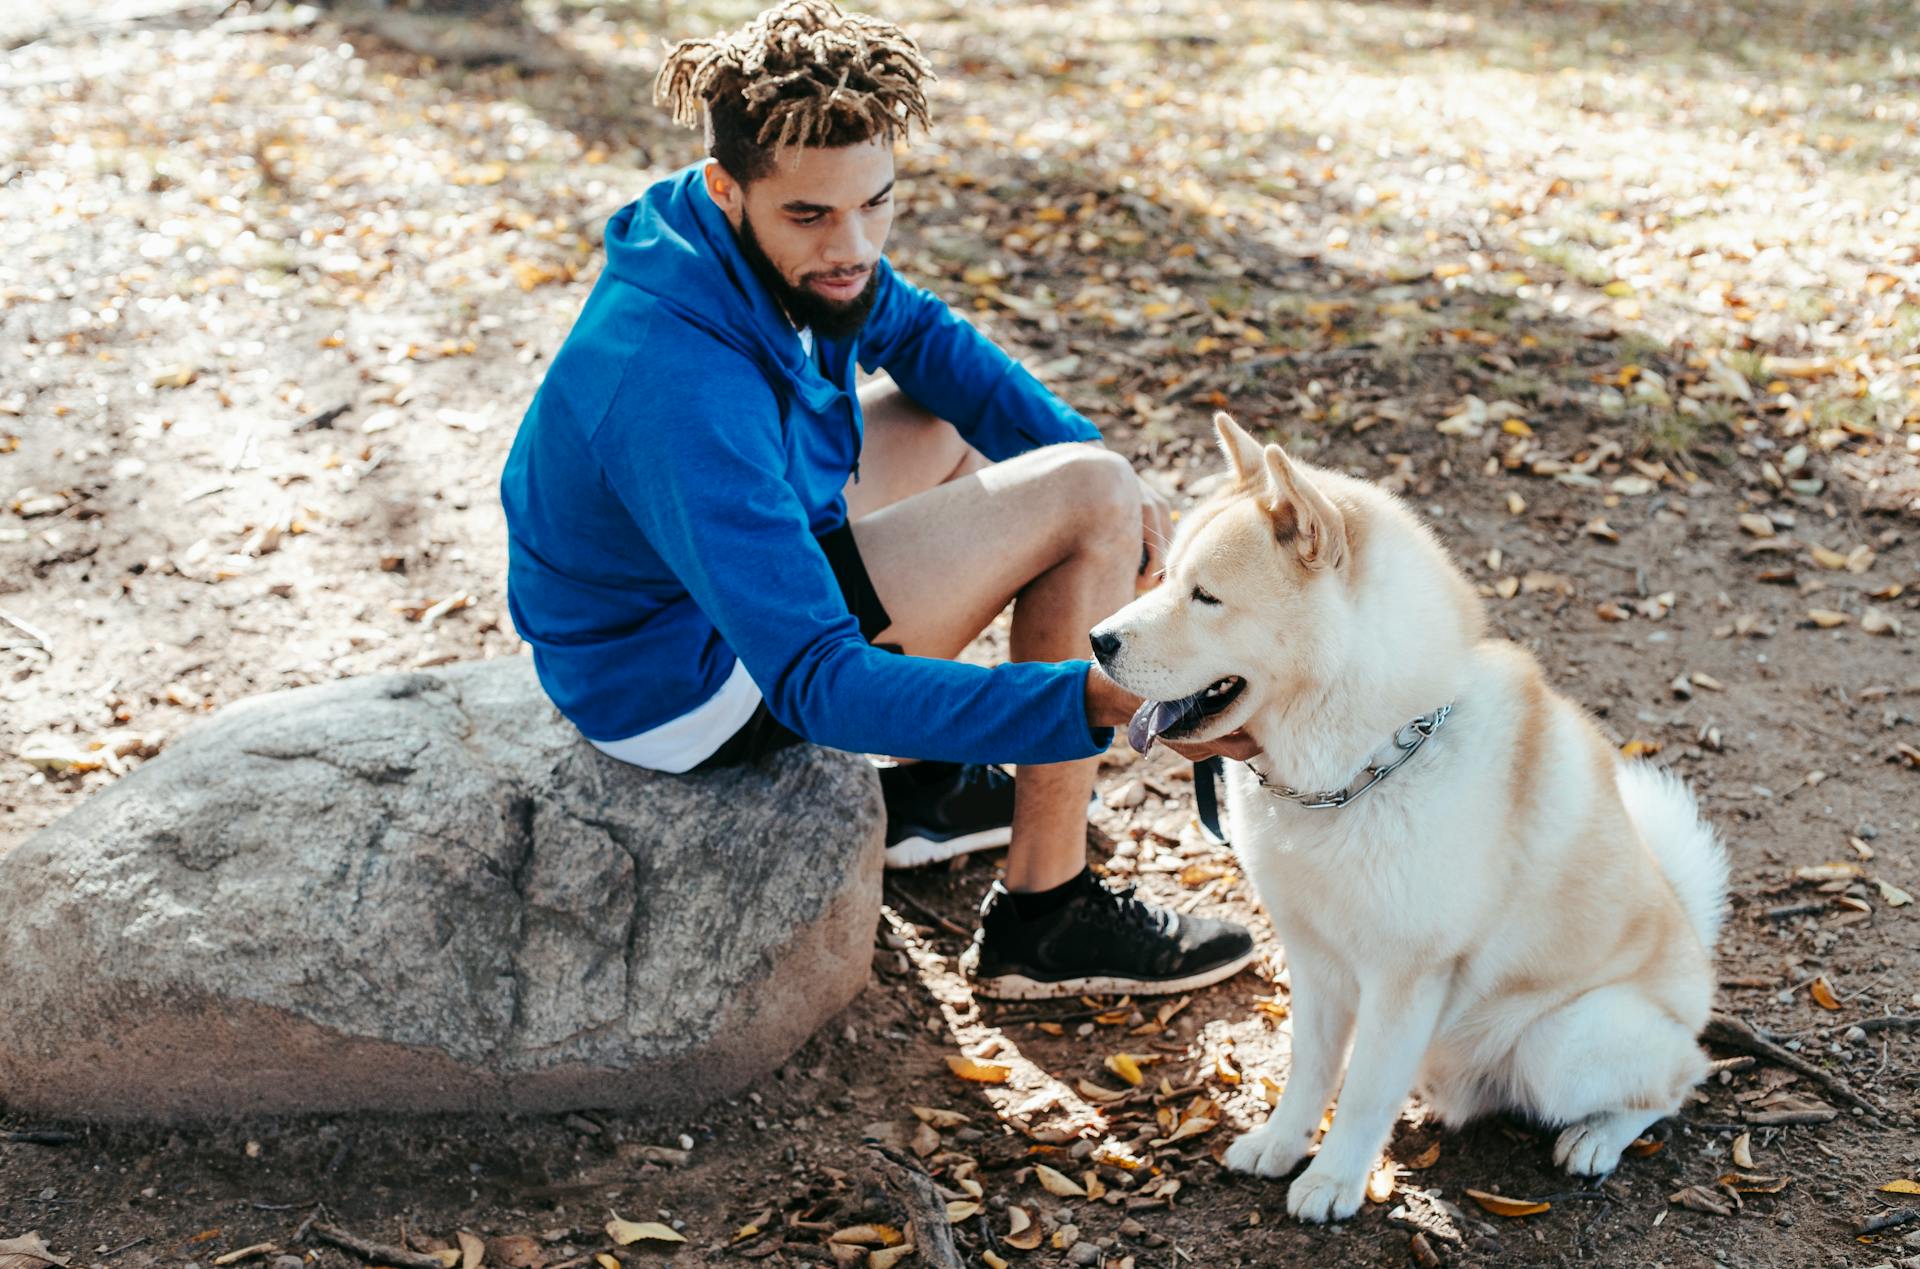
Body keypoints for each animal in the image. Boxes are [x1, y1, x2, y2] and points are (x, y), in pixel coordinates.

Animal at [1090, 412, 1735, 1221]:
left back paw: (1597, 1137)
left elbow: (1365, 1089)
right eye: (1164, 575)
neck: (1363, 764)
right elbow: (1311, 1070)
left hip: (1561, 1042)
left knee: (1681, 1079)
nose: (1097, 640)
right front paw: (1281, 1146)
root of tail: (1697, 961)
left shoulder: (1404, 977)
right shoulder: (1314, 959)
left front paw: (1334, 1180)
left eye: (1205, 595)